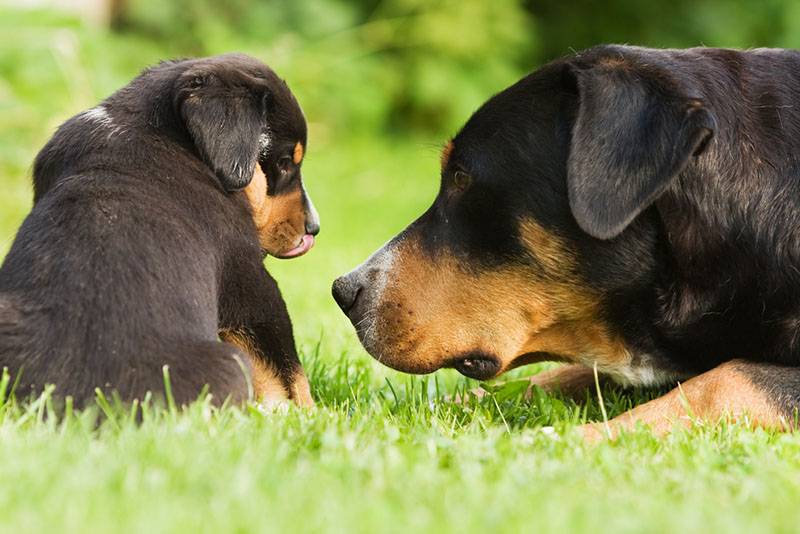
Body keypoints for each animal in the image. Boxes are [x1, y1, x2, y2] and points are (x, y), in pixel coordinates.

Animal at [0, 53, 318, 406]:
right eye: (285, 163)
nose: (314, 228)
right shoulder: (248, 279)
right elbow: (288, 369)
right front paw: (306, 412)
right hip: (229, 362)